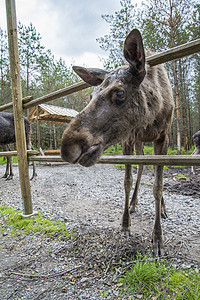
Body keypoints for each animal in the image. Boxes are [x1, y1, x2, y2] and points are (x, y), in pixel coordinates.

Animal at [60, 29, 174, 256]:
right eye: (91, 95)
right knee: (141, 166)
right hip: (139, 143)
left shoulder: (163, 137)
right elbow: (127, 181)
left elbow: (158, 185)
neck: (151, 115)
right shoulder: (128, 139)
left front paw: (157, 237)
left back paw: (163, 208)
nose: (68, 147)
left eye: (119, 92)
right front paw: (125, 224)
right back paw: (133, 203)